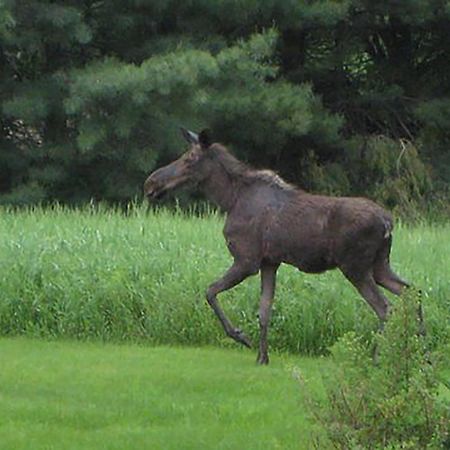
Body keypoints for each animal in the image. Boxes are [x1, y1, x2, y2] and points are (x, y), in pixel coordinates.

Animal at [144, 128, 408, 364]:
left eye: (189, 158)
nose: (151, 183)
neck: (229, 199)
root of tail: (388, 222)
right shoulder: (270, 262)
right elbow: (264, 310)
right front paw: (263, 357)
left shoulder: (247, 260)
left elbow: (210, 291)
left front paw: (241, 337)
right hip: (379, 265)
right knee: (409, 292)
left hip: (355, 266)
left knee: (385, 307)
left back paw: (377, 358)